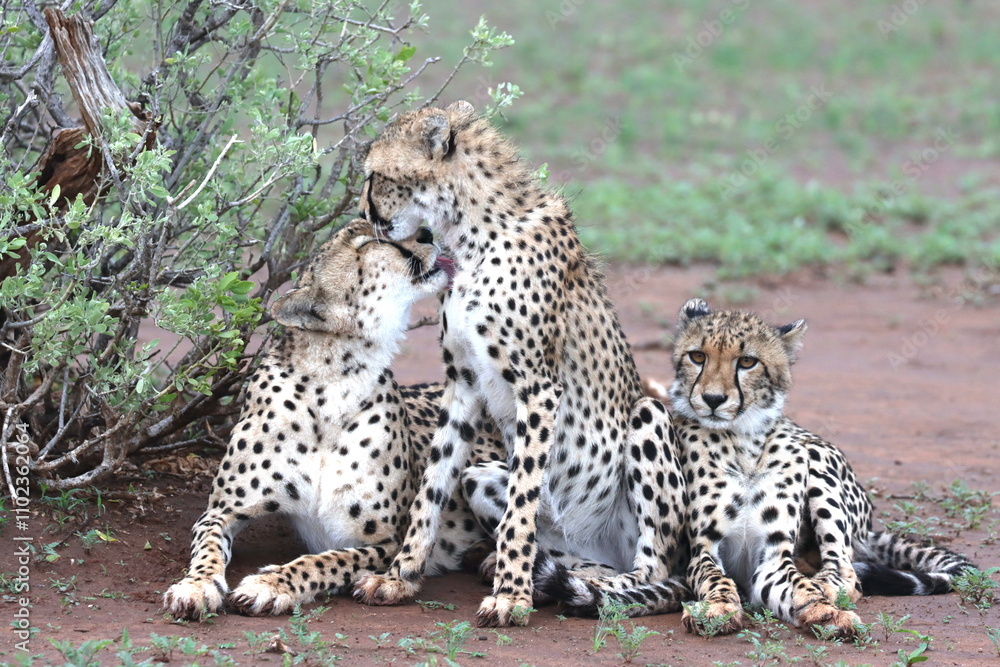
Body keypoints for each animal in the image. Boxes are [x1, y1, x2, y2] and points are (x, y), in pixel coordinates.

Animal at [163, 219, 504, 620]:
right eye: (370, 242)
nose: (426, 232)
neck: (334, 383)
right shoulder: (222, 511)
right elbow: (208, 547)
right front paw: (196, 586)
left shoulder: (388, 542)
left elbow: (324, 561)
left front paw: (270, 584)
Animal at [350, 100, 689, 627]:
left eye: (375, 176)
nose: (364, 214)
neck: (469, 236)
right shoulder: (463, 380)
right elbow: (432, 484)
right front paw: (400, 575)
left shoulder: (538, 387)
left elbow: (522, 500)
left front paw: (510, 595)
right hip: (483, 478)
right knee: (579, 559)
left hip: (647, 420)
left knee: (653, 570)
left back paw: (595, 588)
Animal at [582, 297, 975, 635]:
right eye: (697, 356)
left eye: (747, 362)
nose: (713, 399)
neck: (742, 440)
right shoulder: (704, 549)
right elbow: (716, 580)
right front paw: (717, 609)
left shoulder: (773, 555)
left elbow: (801, 588)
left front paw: (825, 611)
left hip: (816, 463)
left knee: (845, 569)